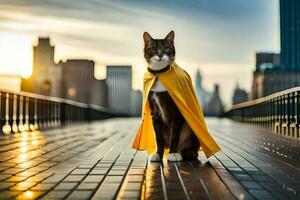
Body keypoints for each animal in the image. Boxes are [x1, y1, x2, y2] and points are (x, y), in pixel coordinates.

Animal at [142, 31, 199, 162]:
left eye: (166, 48)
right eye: (153, 48)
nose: (160, 55)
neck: (159, 75)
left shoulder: (177, 111)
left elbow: (175, 135)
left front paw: (173, 153)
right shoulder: (155, 112)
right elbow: (158, 137)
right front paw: (158, 154)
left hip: (191, 130)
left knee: (192, 150)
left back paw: (184, 152)